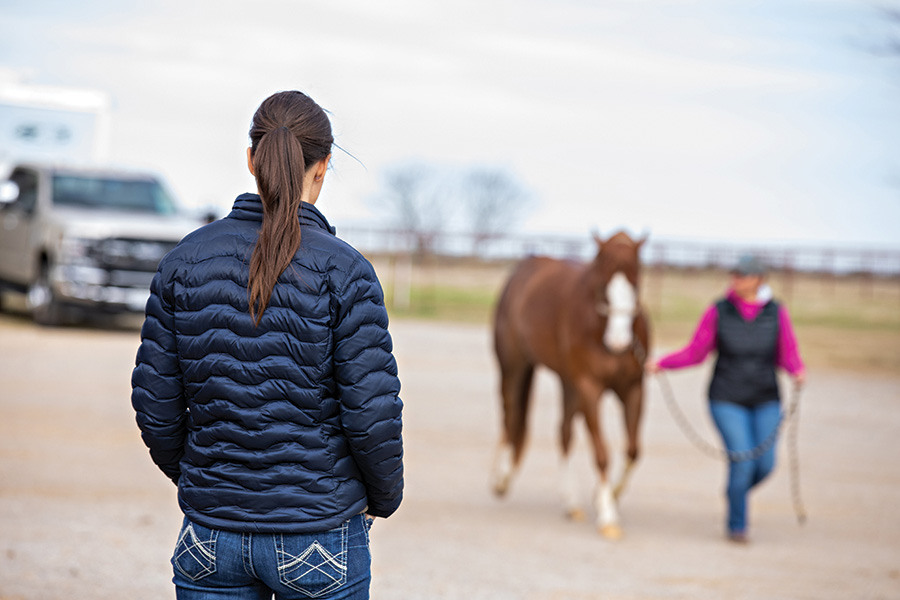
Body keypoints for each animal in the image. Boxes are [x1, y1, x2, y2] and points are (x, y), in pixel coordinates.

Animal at [492, 231, 648, 540]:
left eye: (636, 282)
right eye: (603, 284)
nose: (619, 342)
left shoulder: (634, 389)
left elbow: (633, 449)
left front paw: (607, 496)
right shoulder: (590, 388)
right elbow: (601, 452)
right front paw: (608, 516)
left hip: (568, 383)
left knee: (563, 433)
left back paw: (571, 503)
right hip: (514, 368)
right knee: (510, 415)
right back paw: (501, 479)